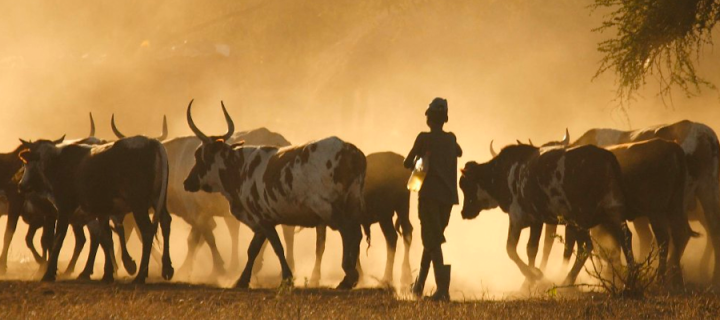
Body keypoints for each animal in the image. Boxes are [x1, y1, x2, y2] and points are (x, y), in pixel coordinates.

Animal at [16, 134, 174, 284]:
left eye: (25, 163)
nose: (21, 185)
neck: (55, 162)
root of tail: (151, 142)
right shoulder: (101, 211)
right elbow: (106, 237)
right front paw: (108, 274)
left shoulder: (64, 208)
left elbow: (58, 238)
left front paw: (49, 274)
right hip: (157, 200)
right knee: (165, 222)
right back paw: (167, 269)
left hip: (139, 205)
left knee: (147, 231)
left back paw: (140, 276)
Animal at [181, 100, 366, 290]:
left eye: (199, 156)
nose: (187, 182)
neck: (241, 167)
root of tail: (351, 151)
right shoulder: (261, 220)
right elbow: (253, 249)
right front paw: (242, 279)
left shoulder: (263, 219)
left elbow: (276, 247)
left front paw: (287, 277)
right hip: (352, 203)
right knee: (356, 234)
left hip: (329, 209)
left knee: (348, 232)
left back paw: (348, 276)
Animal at [458, 144, 632, 286]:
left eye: (466, 185)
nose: (464, 212)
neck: (505, 173)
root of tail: (605, 156)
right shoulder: (536, 221)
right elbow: (531, 249)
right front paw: (528, 282)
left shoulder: (516, 218)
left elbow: (511, 249)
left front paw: (534, 276)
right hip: (614, 210)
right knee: (625, 238)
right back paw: (629, 284)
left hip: (579, 219)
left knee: (586, 247)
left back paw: (567, 281)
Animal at [540, 121, 720, 284]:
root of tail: (704, 135)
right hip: (705, 195)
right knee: (706, 231)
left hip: (669, 207)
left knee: (673, 236)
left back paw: (666, 276)